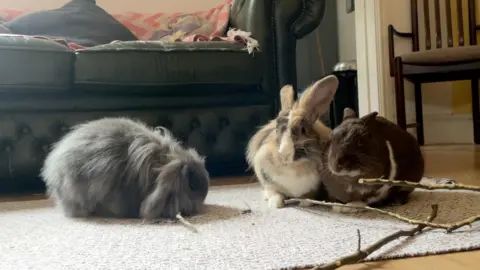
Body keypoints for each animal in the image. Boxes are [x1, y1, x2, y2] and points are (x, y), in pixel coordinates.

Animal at [246, 75, 340, 209]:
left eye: (303, 130)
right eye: (276, 129)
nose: (284, 153)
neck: (290, 167)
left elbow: (309, 196)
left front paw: (305, 202)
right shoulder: (268, 181)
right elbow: (274, 192)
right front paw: (275, 203)